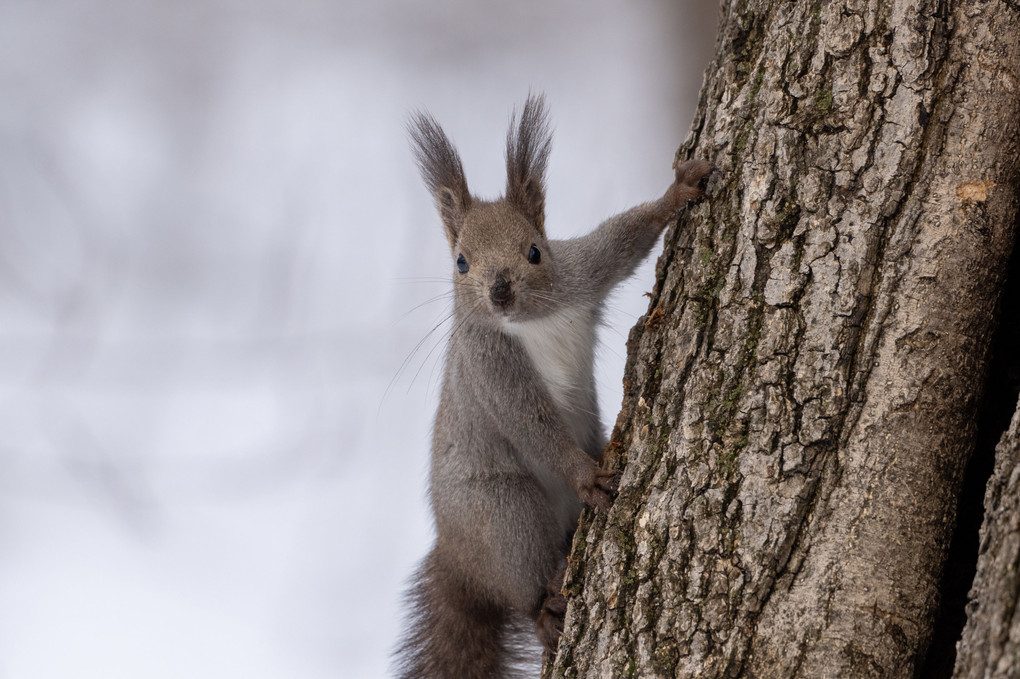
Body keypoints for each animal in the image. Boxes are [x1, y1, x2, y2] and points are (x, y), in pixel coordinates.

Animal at [393, 93, 714, 676]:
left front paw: (677, 193)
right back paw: (546, 608)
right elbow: (531, 424)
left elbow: (625, 237)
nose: (499, 292)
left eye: (535, 250)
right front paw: (588, 476)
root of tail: (458, 556)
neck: (529, 321)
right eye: (461, 262)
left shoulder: (582, 271)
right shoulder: (489, 367)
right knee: (523, 583)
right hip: (503, 514)